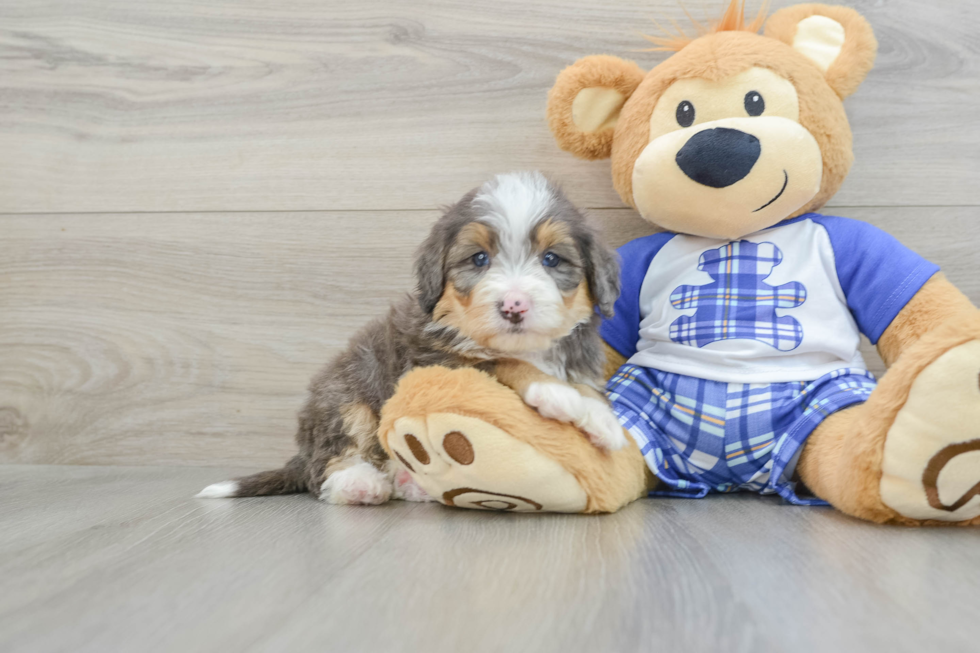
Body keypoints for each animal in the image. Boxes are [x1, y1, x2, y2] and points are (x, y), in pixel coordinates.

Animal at [199, 172, 628, 504]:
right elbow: (505, 363)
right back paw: (359, 483)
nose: (513, 305)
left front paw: (599, 418)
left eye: (551, 259)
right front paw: (558, 394)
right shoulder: (432, 358)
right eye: (479, 259)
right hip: (344, 391)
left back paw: (411, 482)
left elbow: (584, 388)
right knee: (328, 462)